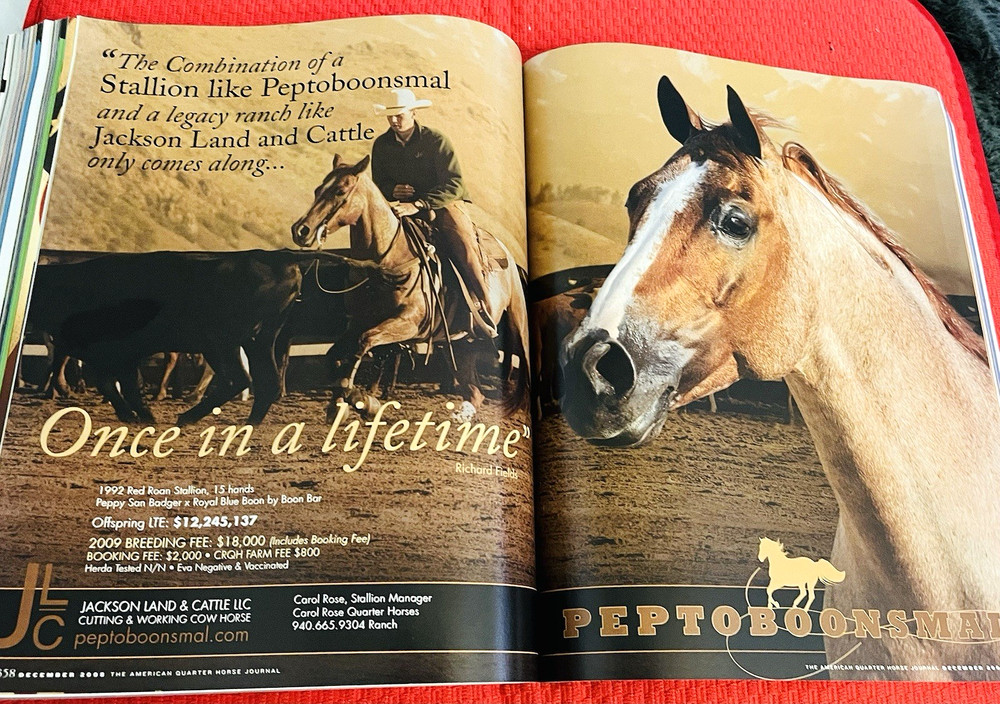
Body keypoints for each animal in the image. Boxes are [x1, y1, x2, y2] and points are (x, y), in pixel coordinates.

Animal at [291, 154, 530, 421]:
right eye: (318, 189)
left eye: (340, 190)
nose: (301, 230)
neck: (388, 259)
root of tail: (510, 257)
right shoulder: (358, 322)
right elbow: (334, 355)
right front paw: (340, 403)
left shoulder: (409, 323)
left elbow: (365, 341)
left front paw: (361, 399)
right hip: (460, 343)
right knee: (473, 389)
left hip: (516, 322)